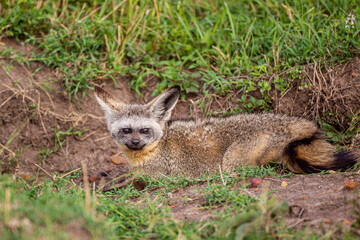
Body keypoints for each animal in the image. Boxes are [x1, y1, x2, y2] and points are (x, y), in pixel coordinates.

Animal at [94, 85, 358, 178]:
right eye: (126, 130)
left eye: (144, 130)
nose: (135, 143)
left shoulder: (155, 176)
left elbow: (122, 181)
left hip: (231, 161)